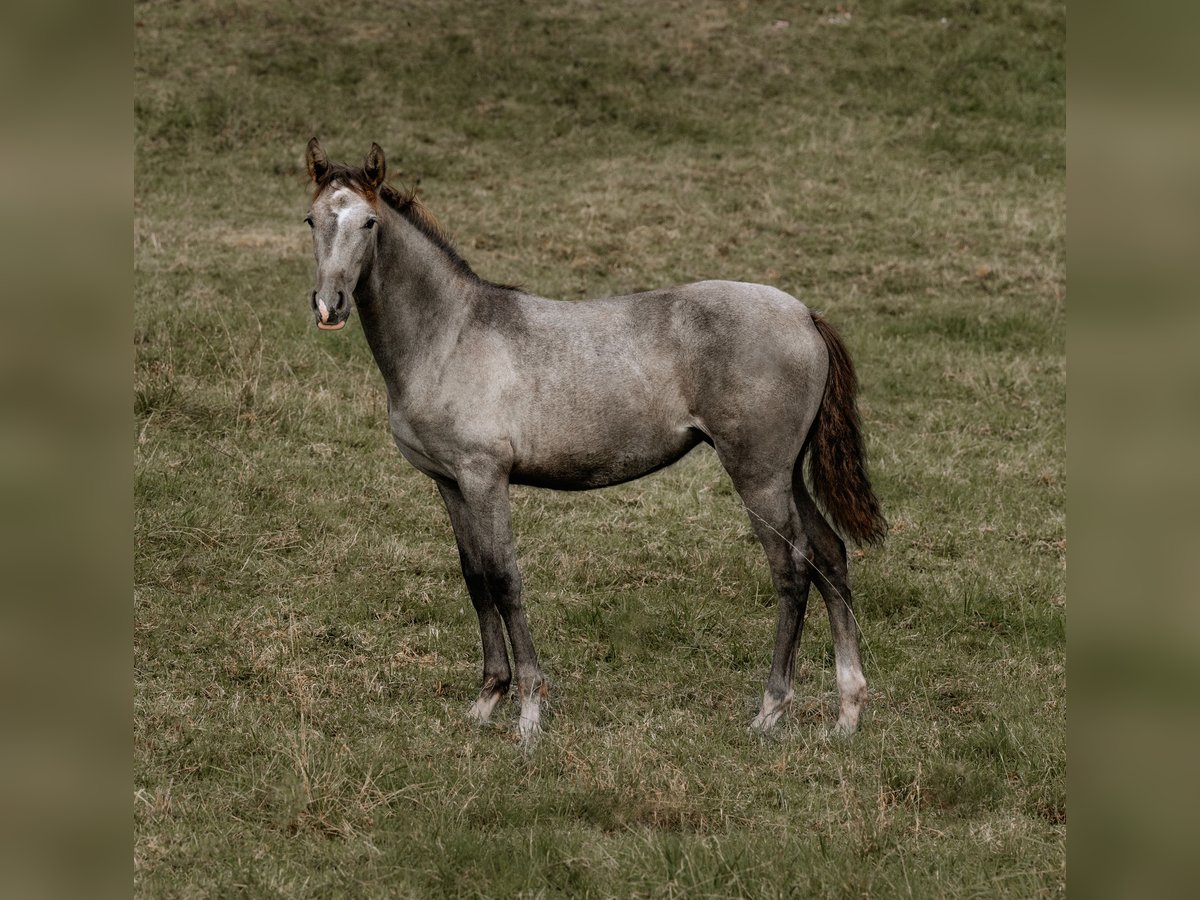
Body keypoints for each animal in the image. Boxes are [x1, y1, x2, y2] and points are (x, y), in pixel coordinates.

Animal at [302, 142, 883, 748]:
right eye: (312, 219)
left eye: (369, 222)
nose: (329, 305)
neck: (450, 334)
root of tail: (804, 315)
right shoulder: (450, 484)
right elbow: (475, 577)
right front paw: (487, 701)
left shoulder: (485, 478)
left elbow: (505, 578)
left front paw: (529, 712)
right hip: (786, 474)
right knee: (830, 556)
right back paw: (847, 713)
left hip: (759, 477)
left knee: (792, 572)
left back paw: (771, 711)